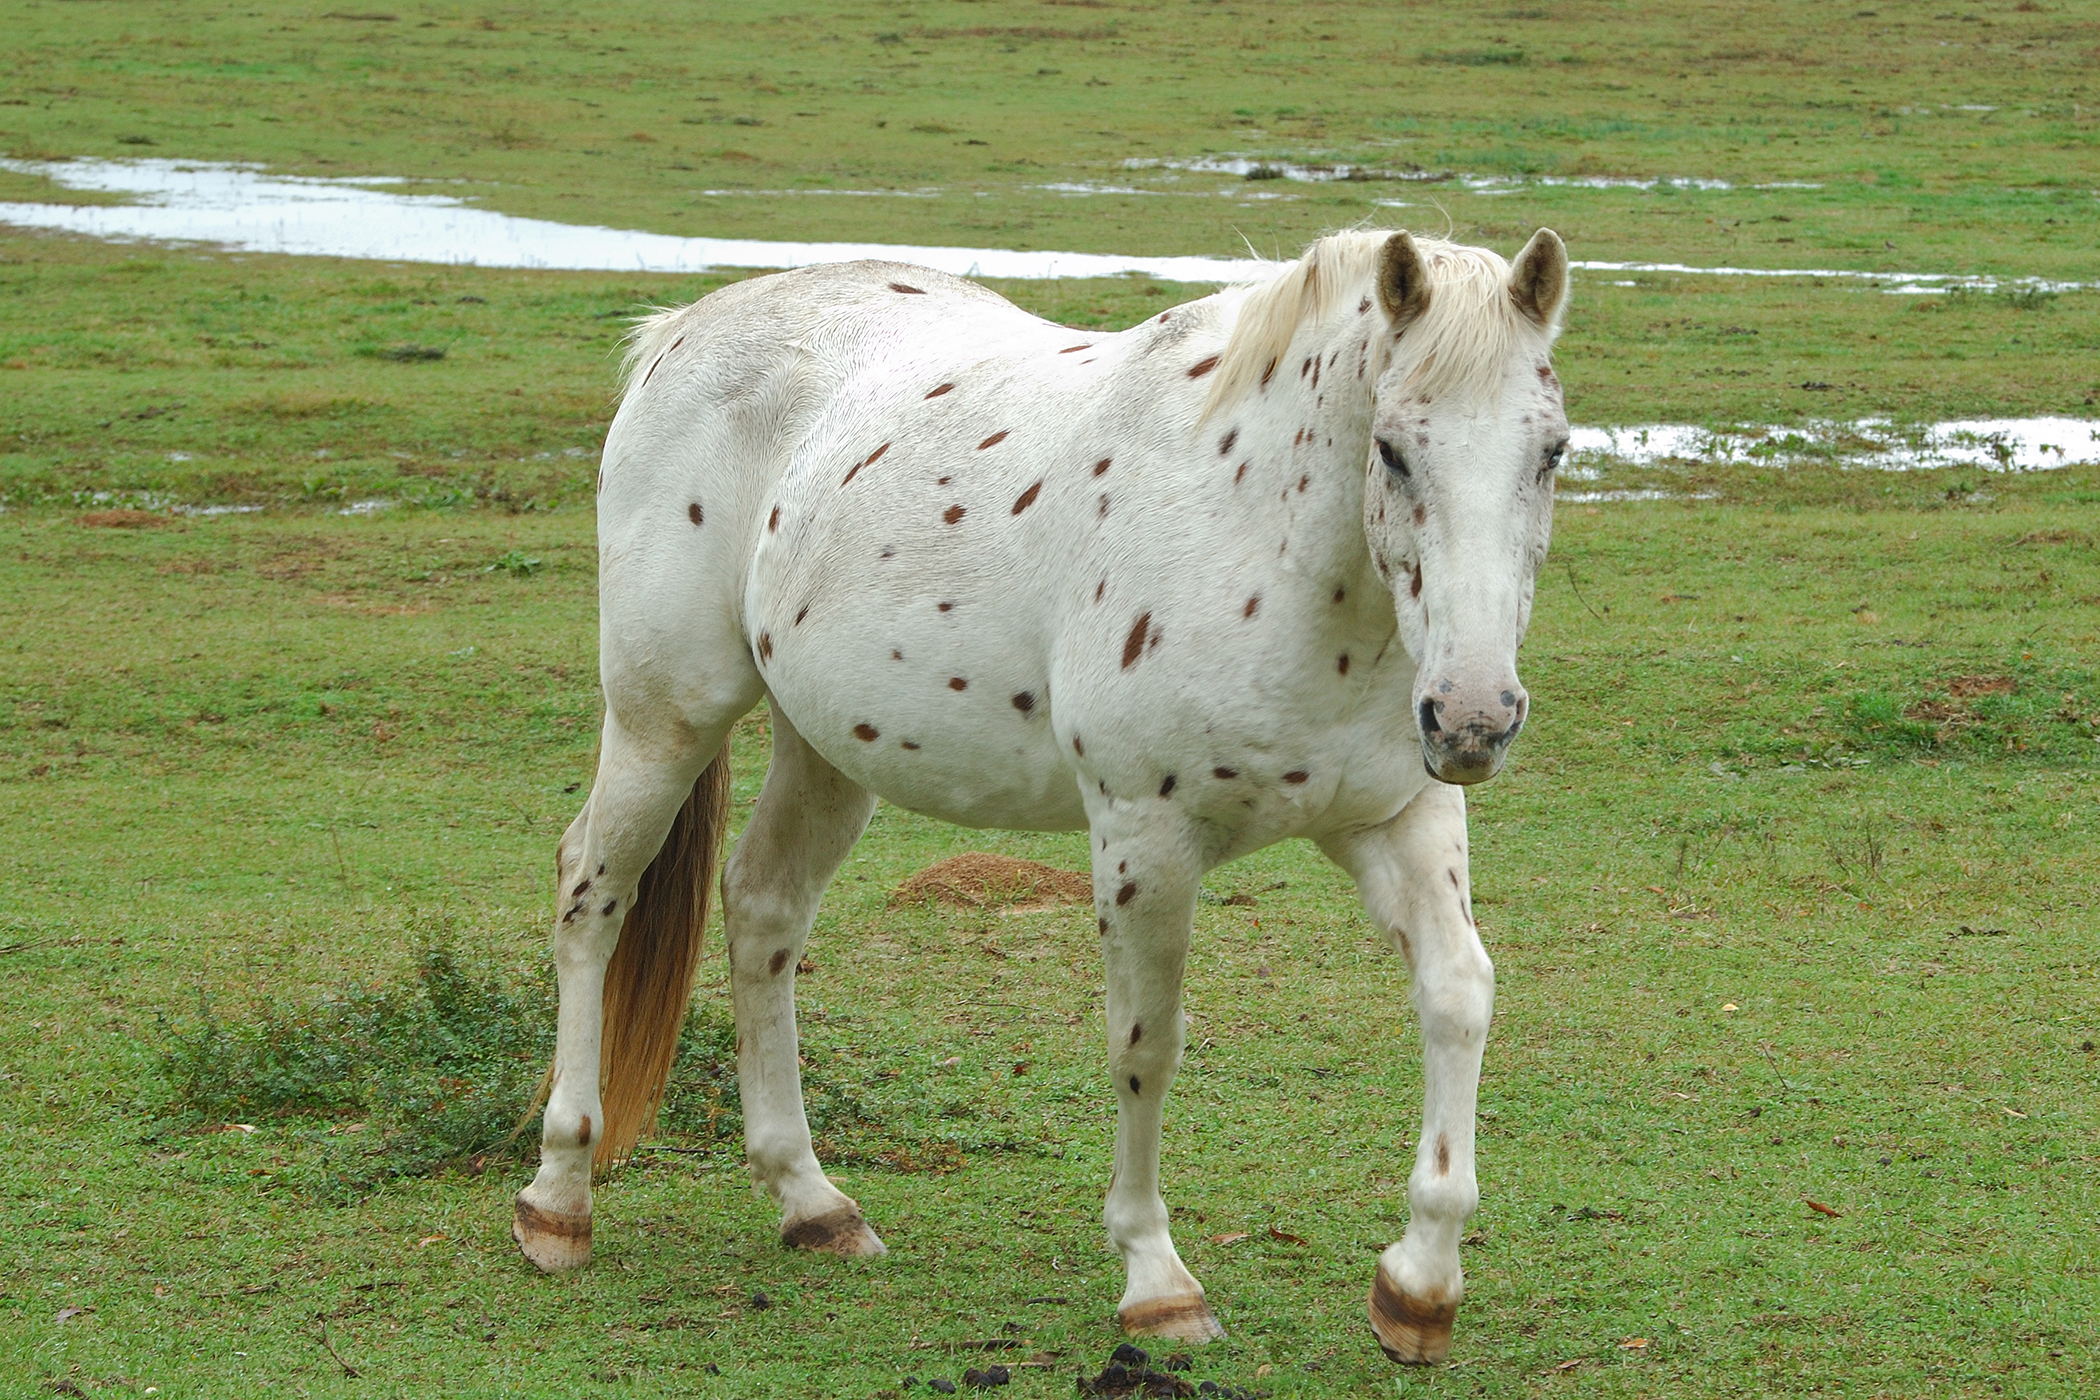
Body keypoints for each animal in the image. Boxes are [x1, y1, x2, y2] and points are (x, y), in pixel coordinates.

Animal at [510, 225, 1571, 1364]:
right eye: (1395, 450)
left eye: (1551, 451)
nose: (1474, 717)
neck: (1260, 537)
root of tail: (683, 332)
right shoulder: (1146, 837)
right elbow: (1147, 1042)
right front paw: (1156, 1277)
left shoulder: (1397, 818)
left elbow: (1459, 995)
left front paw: (1421, 1281)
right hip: (664, 718)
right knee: (591, 896)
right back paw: (558, 1197)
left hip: (827, 749)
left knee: (761, 910)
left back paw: (810, 1199)